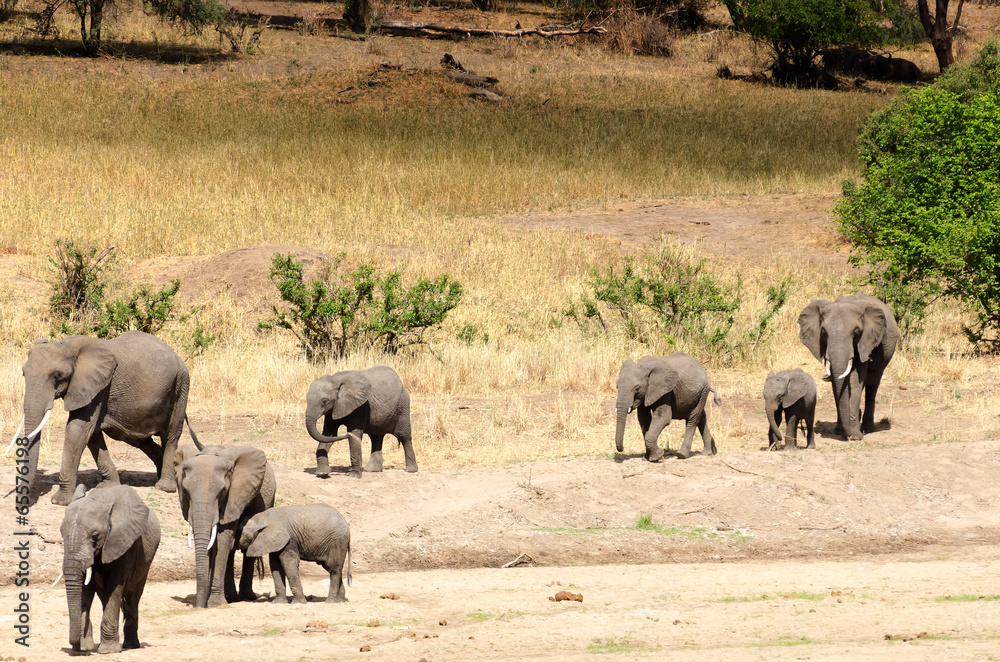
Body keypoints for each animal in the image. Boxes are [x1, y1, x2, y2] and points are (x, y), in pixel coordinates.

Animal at [16, 330, 199, 506]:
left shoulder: (98, 386)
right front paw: (108, 486)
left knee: (170, 435)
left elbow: (78, 429)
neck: (66, 346)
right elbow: (91, 434)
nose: (25, 503)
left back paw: (164, 486)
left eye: (57, 375)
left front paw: (59, 501)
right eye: (23, 373)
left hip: (181, 386)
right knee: (139, 439)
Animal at [60, 484, 160, 654]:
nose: (76, 646)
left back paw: (131, 645)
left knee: (133, 595)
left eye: (95, 536)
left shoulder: (124, 542)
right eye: (62, 534)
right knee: (105, 596)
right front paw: (84, 647)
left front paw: (108, 651)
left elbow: (115, 585)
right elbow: (85, 589)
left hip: (146, 561)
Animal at [174, 444, 276, 608]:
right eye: (186, 492)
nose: (198, 606)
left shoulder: (234, 497)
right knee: (231, 551)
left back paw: (246, 597)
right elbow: (212, 543)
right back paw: (231, 597)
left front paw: (215, 604)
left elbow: (222, 539)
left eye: (222, 492)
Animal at [798, 294, 898, 441]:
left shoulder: (865, 342)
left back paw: (868, 428)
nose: (849, 434)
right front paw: (840, 431)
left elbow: (856, 380)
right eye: (823, 331)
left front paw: (855, 437)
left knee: (872, 385)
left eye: (856, 331)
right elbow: (836, 382)